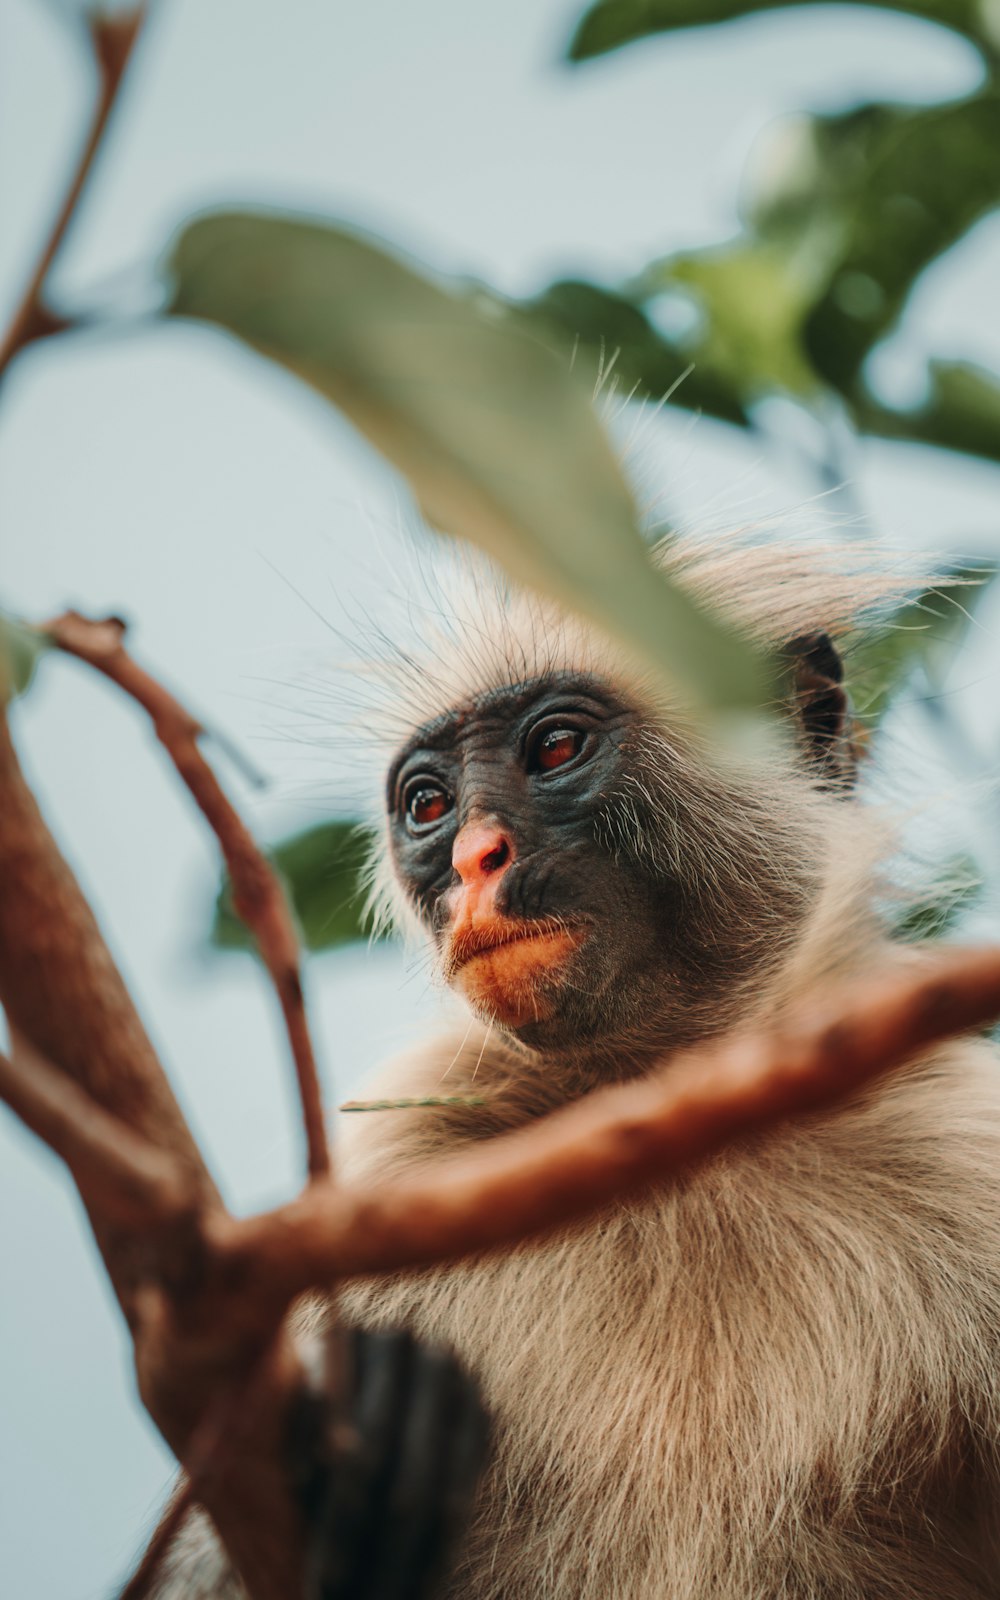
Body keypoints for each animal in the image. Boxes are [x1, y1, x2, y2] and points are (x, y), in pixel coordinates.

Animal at [150, 537, 1000, 1600]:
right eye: (428, 805)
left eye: (554, 748)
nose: (474, 857)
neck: (672, 1129)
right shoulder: (405, 1155)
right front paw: (381, 1448)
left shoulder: (960, 1145)